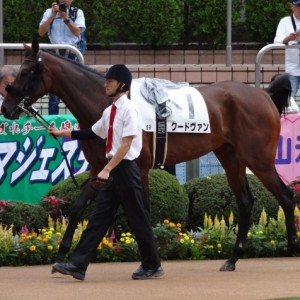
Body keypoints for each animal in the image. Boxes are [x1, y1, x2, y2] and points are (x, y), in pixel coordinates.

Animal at [1, 38, 298, 272]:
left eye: (26, 71)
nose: (6, 108)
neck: (107, 103)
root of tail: (264, 95)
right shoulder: (101, 168)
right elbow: (78, 207)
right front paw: (63, 254)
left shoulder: (137, 168)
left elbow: (141, 210)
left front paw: (150, 261)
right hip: (230, 157)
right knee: (246, 201)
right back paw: (233, 259)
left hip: (258, 159)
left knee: (285, 196)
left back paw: (292, 247)